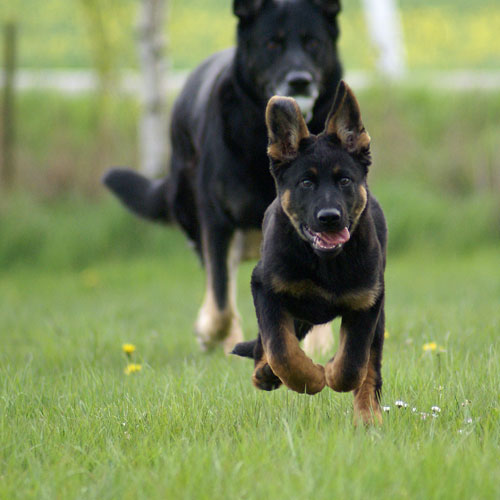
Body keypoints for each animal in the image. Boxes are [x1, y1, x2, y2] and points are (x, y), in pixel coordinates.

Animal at [103, 0, 342, 354]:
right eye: (272, 44)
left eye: (313, 42)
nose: (299, 81)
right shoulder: (216, 221)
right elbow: (220, 302)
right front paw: (210, 333)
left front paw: (317, 343)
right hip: (195, 218)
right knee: (222, 286)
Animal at [232, 83, 388, 426]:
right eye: (306, 182)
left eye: (345, 180)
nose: (329, 218)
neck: (324, 262)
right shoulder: (265, 287)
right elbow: (281, 349)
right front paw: (310, 379)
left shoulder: (367, 301)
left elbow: (353, 363)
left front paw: (330, 371)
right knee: (266, 345)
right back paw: (263, 373)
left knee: (370, 367)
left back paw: (368, 417)